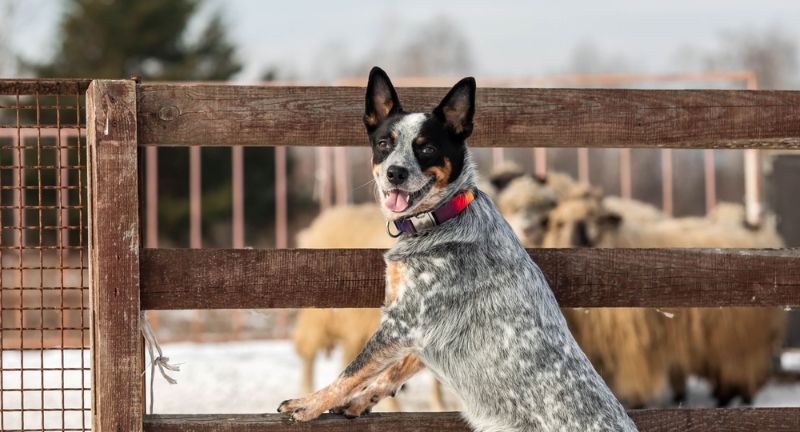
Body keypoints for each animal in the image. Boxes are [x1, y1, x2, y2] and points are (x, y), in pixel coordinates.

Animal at [278, 67, 636, 432]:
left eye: (427, 148)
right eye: (384, 144)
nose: (395, 172)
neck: (441, 218)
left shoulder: (403, 323)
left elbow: (352, 370)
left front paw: (309, 404)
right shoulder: (420, 334)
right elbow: (390, 373)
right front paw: (359, 402)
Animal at [540, 194, 784, 406]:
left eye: (595, 220)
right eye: (559, 223)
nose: (575, 240)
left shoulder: (632, 340)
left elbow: (634, 371)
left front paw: (635, 400)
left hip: (741, 337)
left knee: (741, 368)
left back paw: (734, 398)